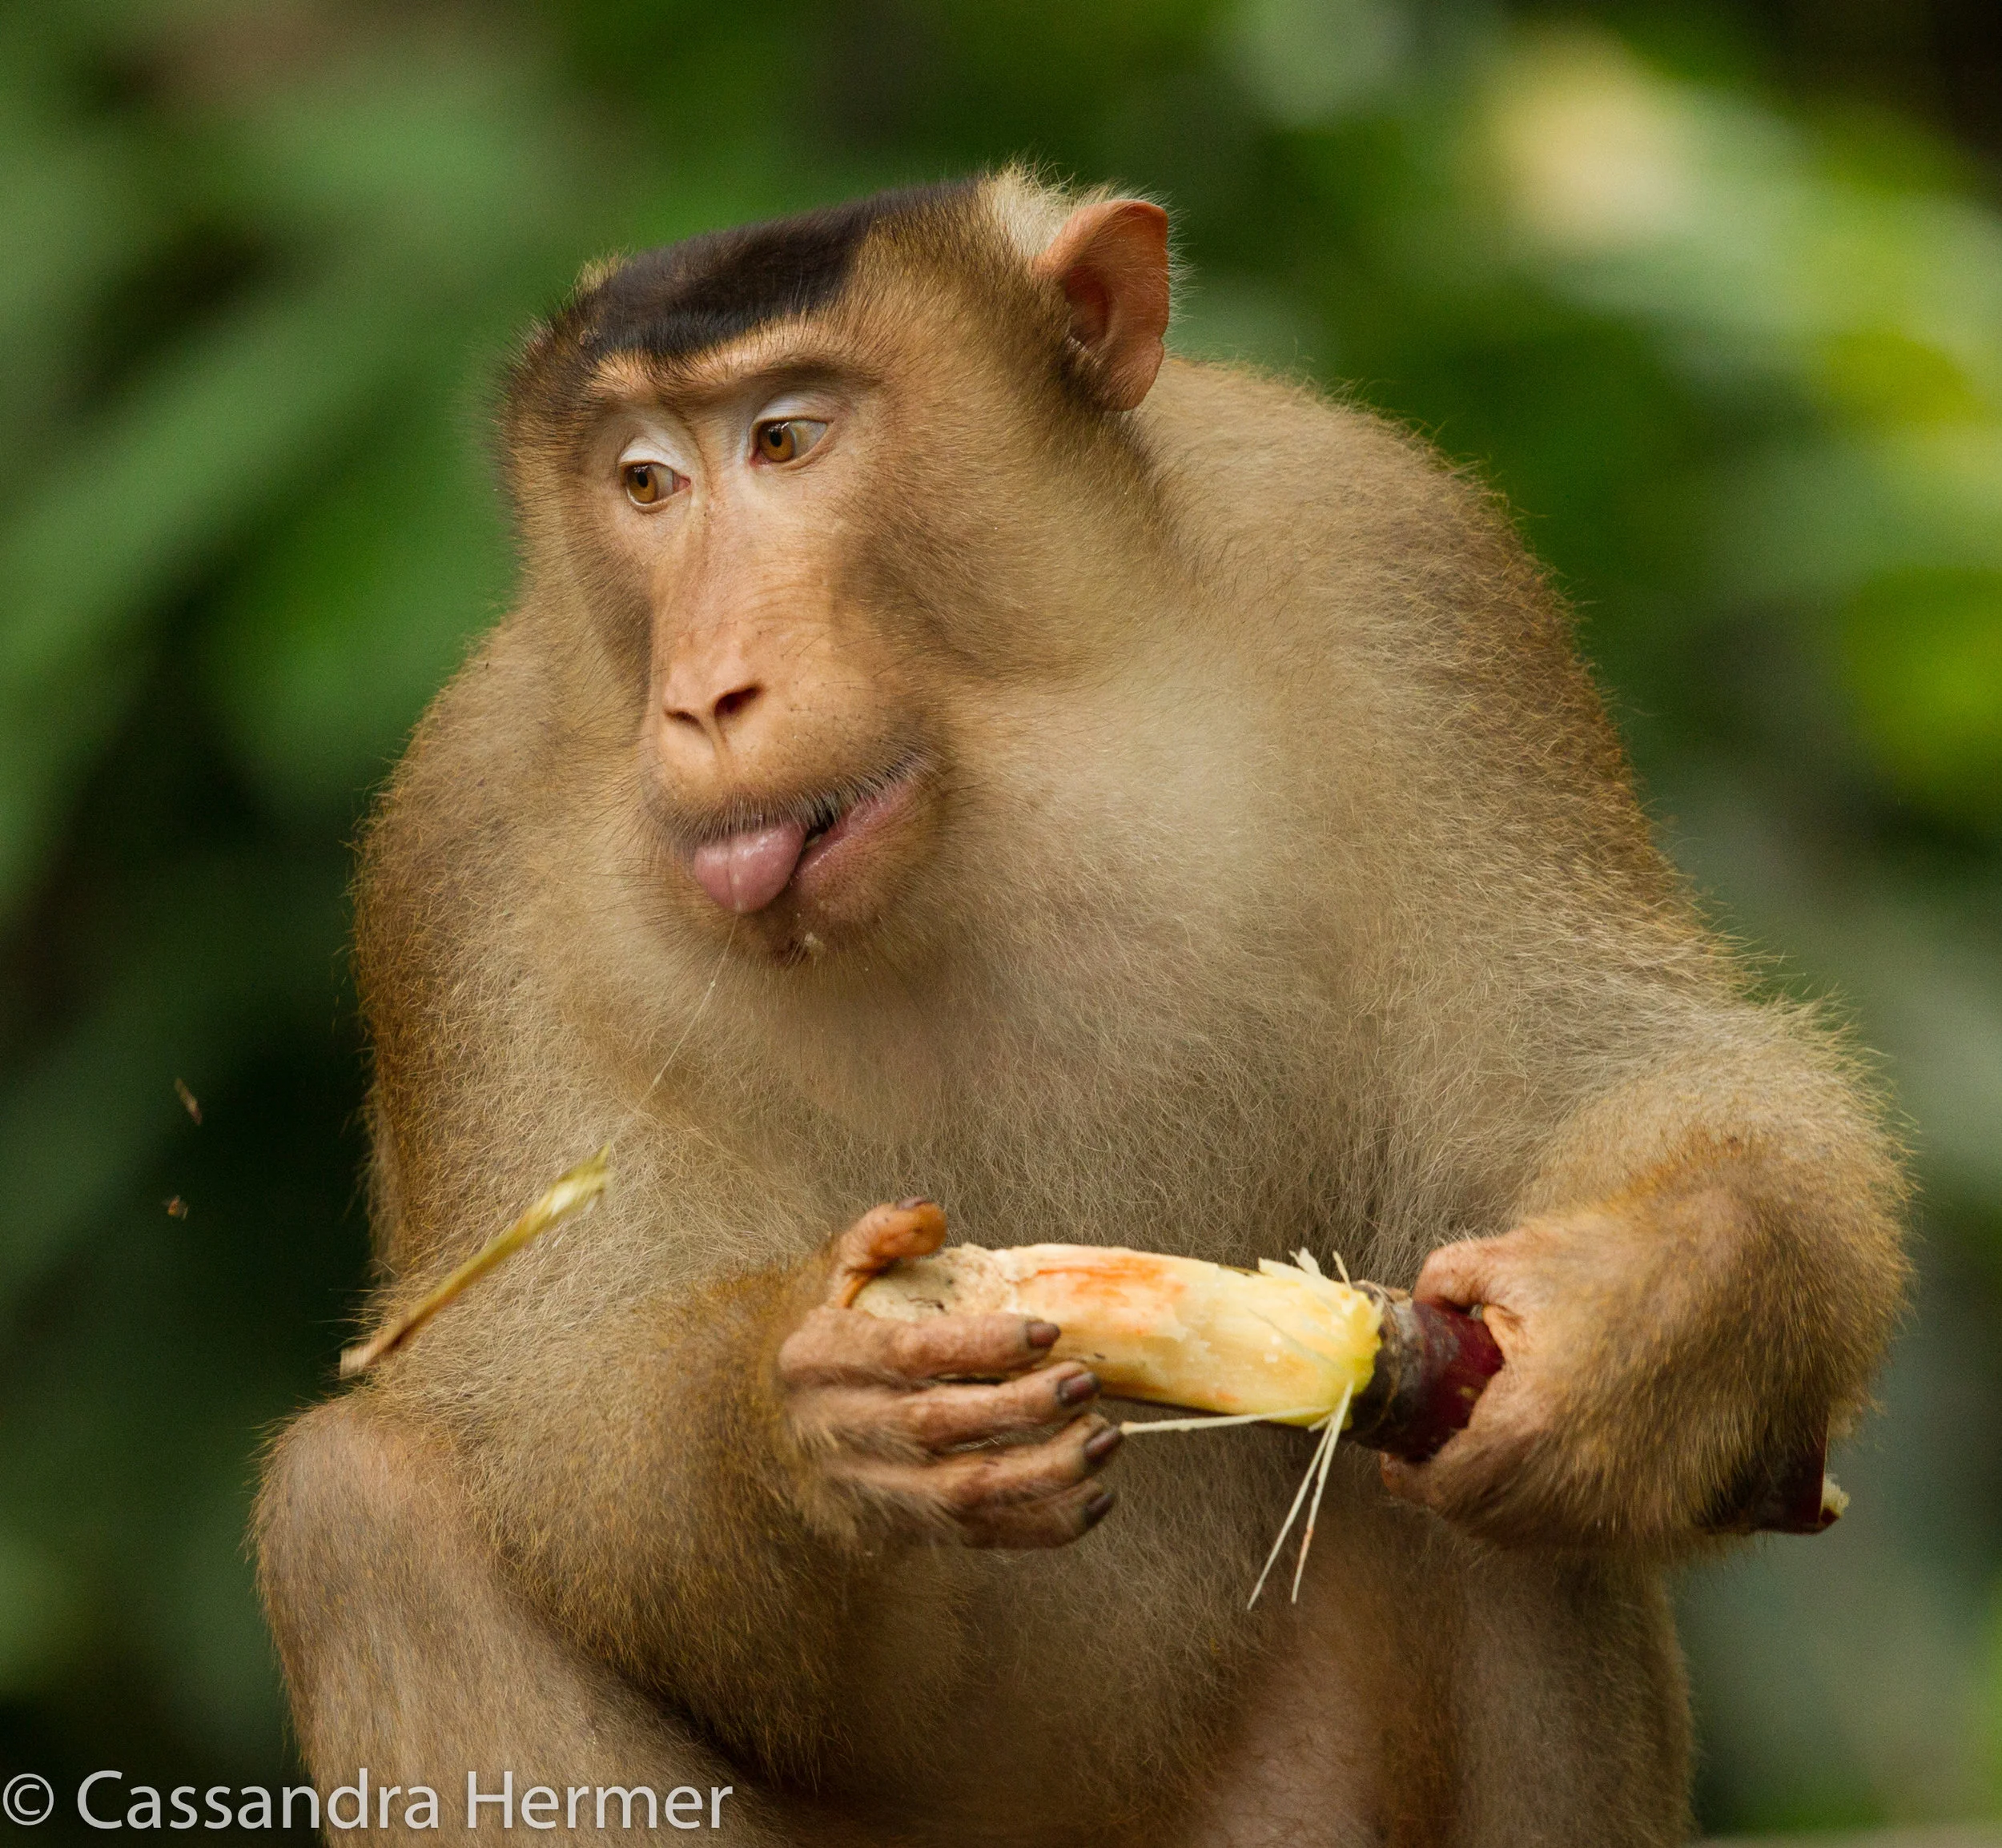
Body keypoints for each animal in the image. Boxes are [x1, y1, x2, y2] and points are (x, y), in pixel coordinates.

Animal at [254, 170, 1907, 1847]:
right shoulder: (468, 836)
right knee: (358, 1515)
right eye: (645, 480)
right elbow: (547, 1396)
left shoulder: (1398, 572)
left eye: (787, 438)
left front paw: (1658, 1313)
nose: (707, 694)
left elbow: (1596, 1064)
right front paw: (818, 1419)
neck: (991, 745)